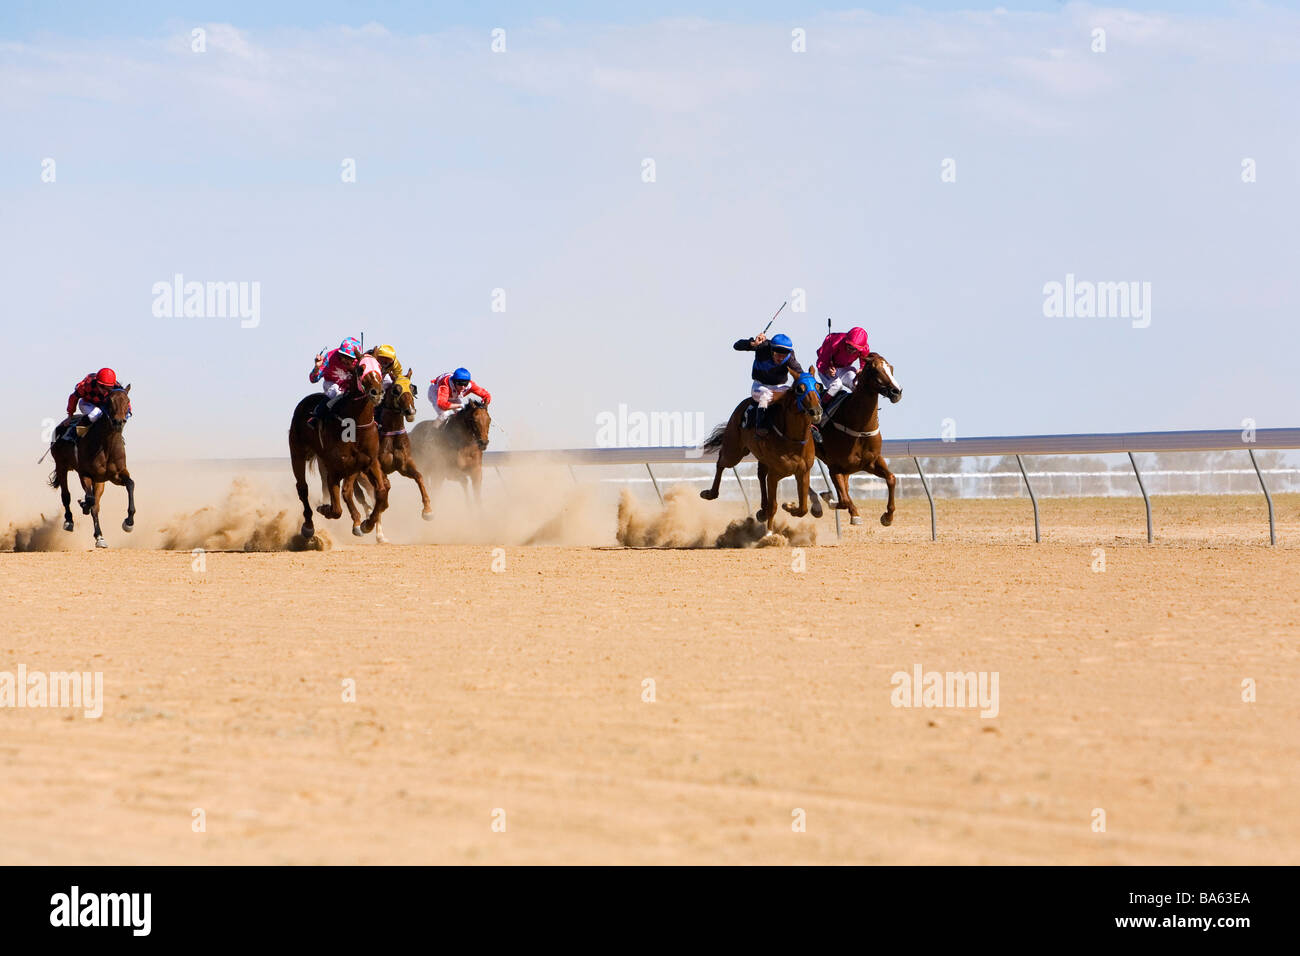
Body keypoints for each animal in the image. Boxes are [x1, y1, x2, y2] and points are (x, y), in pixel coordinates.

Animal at [48, 382, 135, 546]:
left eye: (127, 401)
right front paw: (83, 504)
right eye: (109, 401)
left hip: (100, 480)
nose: (118, 422)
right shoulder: (85, 473)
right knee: (66, 495)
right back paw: (69, 521)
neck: (106, 445)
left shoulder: (116, 475)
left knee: (96, 505)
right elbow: (89, 499)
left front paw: (129, 522)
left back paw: (99, 536)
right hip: (61, 466)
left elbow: (130, 484)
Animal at [286, 356, 382, 538]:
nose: (377, 392)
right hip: (297, 453)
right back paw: (308, 526)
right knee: (302, 488)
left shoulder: (360, 462)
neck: (354, 425)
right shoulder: (335, 468)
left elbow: (357, 491)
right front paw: (325, 509)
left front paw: (363, 523)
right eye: (361, 368)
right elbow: (337, 509)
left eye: (380, 367)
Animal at [351, 371, 436, 541]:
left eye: (412, 388)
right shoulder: (376, 469)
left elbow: (419, 477)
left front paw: (428, 511)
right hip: (360, 475)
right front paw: (367, 524)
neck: (390, 432)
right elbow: (383, 491)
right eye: (396, 390)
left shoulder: (404, 465)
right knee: (364, 495)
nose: (410, 412)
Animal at [702, 371, 821, 538]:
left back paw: (762, 511)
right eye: (800, 388)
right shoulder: (775, 474)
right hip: (734, 451)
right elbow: (774, 505)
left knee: (760, 474)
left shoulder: (803, 472)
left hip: (760, 458)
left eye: (818, 386)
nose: (816, 411)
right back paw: (710, 493)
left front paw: (789, 506)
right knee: (721, 462)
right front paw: (769, 534)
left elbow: (803, 507)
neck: (794, 442)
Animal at [811, 351, 904, 528]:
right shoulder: (835, 467)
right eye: (876, 370)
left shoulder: (871, 461)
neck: (859, 428)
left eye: (891, 368)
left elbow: (891, 478)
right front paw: (851, 513)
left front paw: (887, 516)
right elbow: (844, 499)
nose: (897, 392)